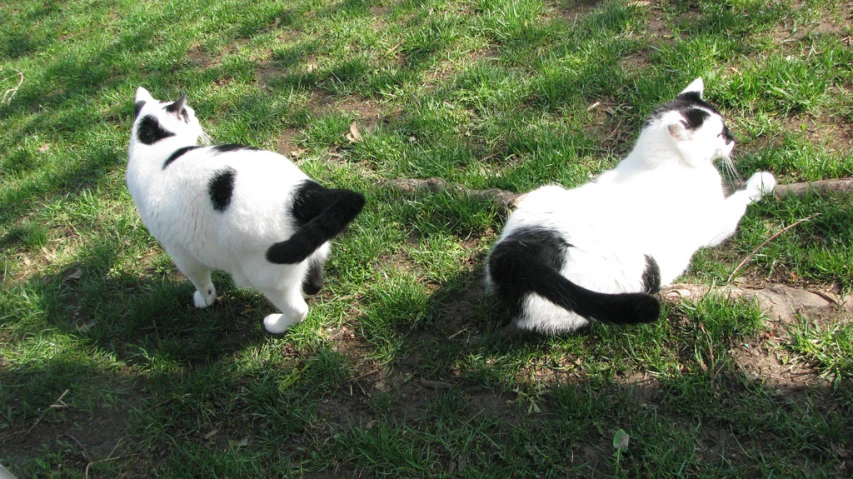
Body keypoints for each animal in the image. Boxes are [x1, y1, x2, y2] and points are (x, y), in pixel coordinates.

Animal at [126, 87, 362, 334]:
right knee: (314, 281)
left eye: (190, 113)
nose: (198, 118)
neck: (156, 148)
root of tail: (302, 193)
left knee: (299, 310)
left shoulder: (181, 252)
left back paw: (275, 324)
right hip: (307, 247)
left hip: (268, 275)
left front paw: (205, 299)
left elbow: (200, 280)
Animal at [486, 78, 772, 334]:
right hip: (640, 272)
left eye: (725, 128)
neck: (661, 163)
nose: (733, 139)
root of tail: (515, 254)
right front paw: (762, 182)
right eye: (719, 134)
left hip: (547, 192)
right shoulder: (714, 225)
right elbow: (739, 200)